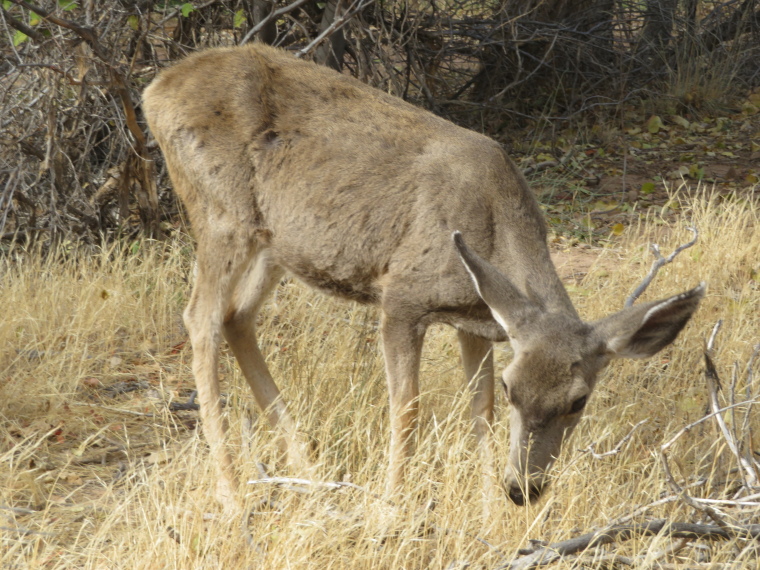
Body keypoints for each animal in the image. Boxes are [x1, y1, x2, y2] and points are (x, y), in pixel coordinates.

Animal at [141, 43, 700, 506]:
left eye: (579, 400)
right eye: (515, 387)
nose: (523, 490)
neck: (492, 221)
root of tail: (154, 90)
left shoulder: (479, 317)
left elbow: (480, 414)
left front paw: (486, 511)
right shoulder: (401, 298)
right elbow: (406, 409)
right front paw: (390, 510)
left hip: (272, 241)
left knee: (236, 317)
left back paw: (309, 473)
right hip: (219, 214)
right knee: (200, 319)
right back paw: (232, 493)